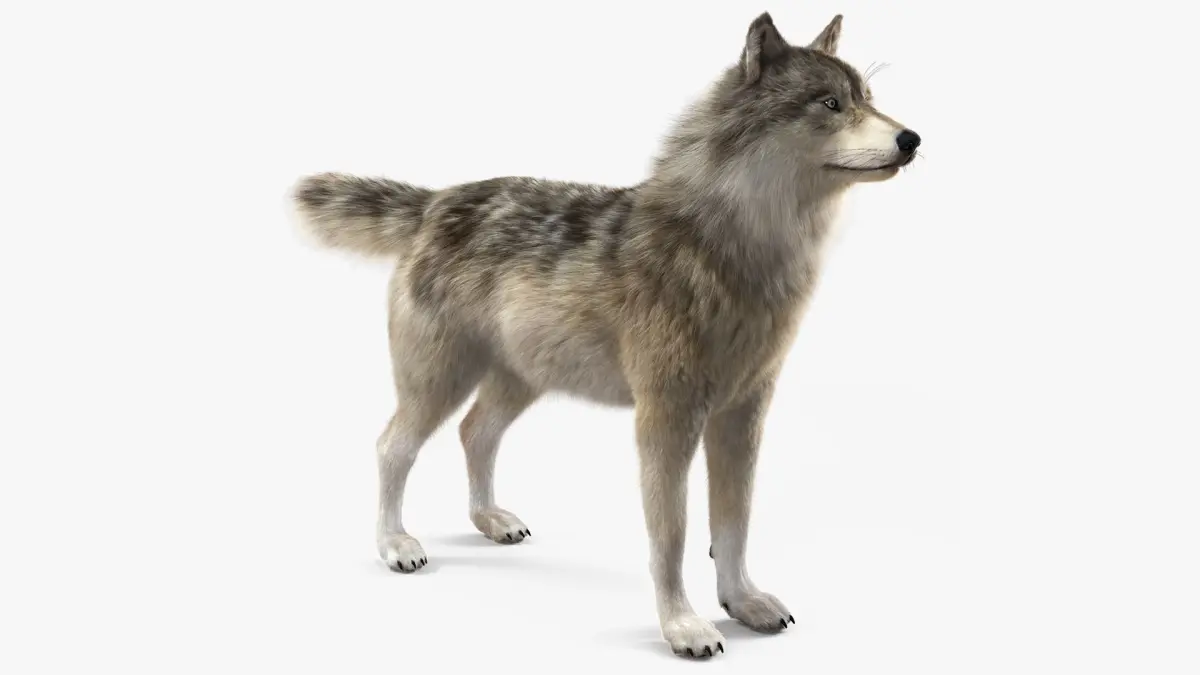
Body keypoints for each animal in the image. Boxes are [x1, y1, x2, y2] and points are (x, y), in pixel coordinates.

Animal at [292, 11, 920, 658]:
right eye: (830, 103)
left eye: (868, 99)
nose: (912, 139)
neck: (736, 249)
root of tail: (436, 201)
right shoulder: (666, 420)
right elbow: (672, 537)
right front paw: (684, 627)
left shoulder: (743, 415)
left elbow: (734, 524)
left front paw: (743, 603)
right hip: (440, 381)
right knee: (392, 446)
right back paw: (396, 544)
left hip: (519, 381)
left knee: (475, 433)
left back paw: (492, 521)